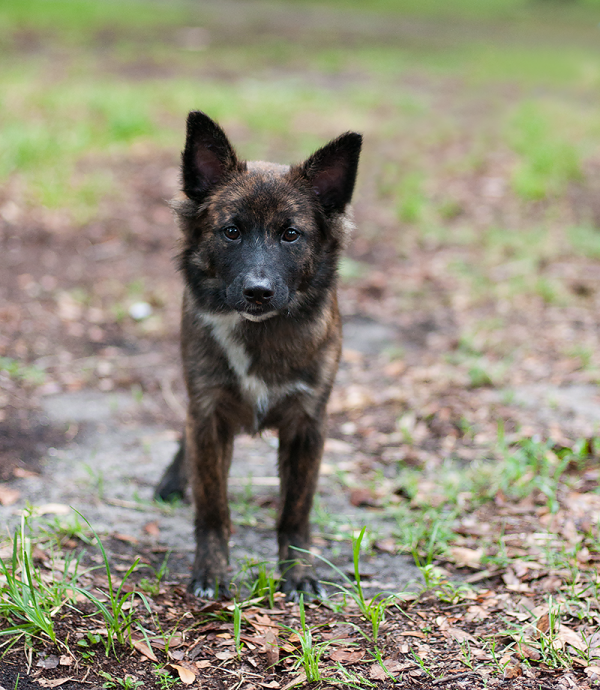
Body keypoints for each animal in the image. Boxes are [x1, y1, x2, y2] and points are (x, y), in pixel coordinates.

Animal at [156, 113, 360, 596]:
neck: (261, 332)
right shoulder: (208, 413)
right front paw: (211, 571)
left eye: (291, 234)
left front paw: (299, 572)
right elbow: (213, 508)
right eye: (231, 231)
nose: (258, 291)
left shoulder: (308, 423)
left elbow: (295, 512)